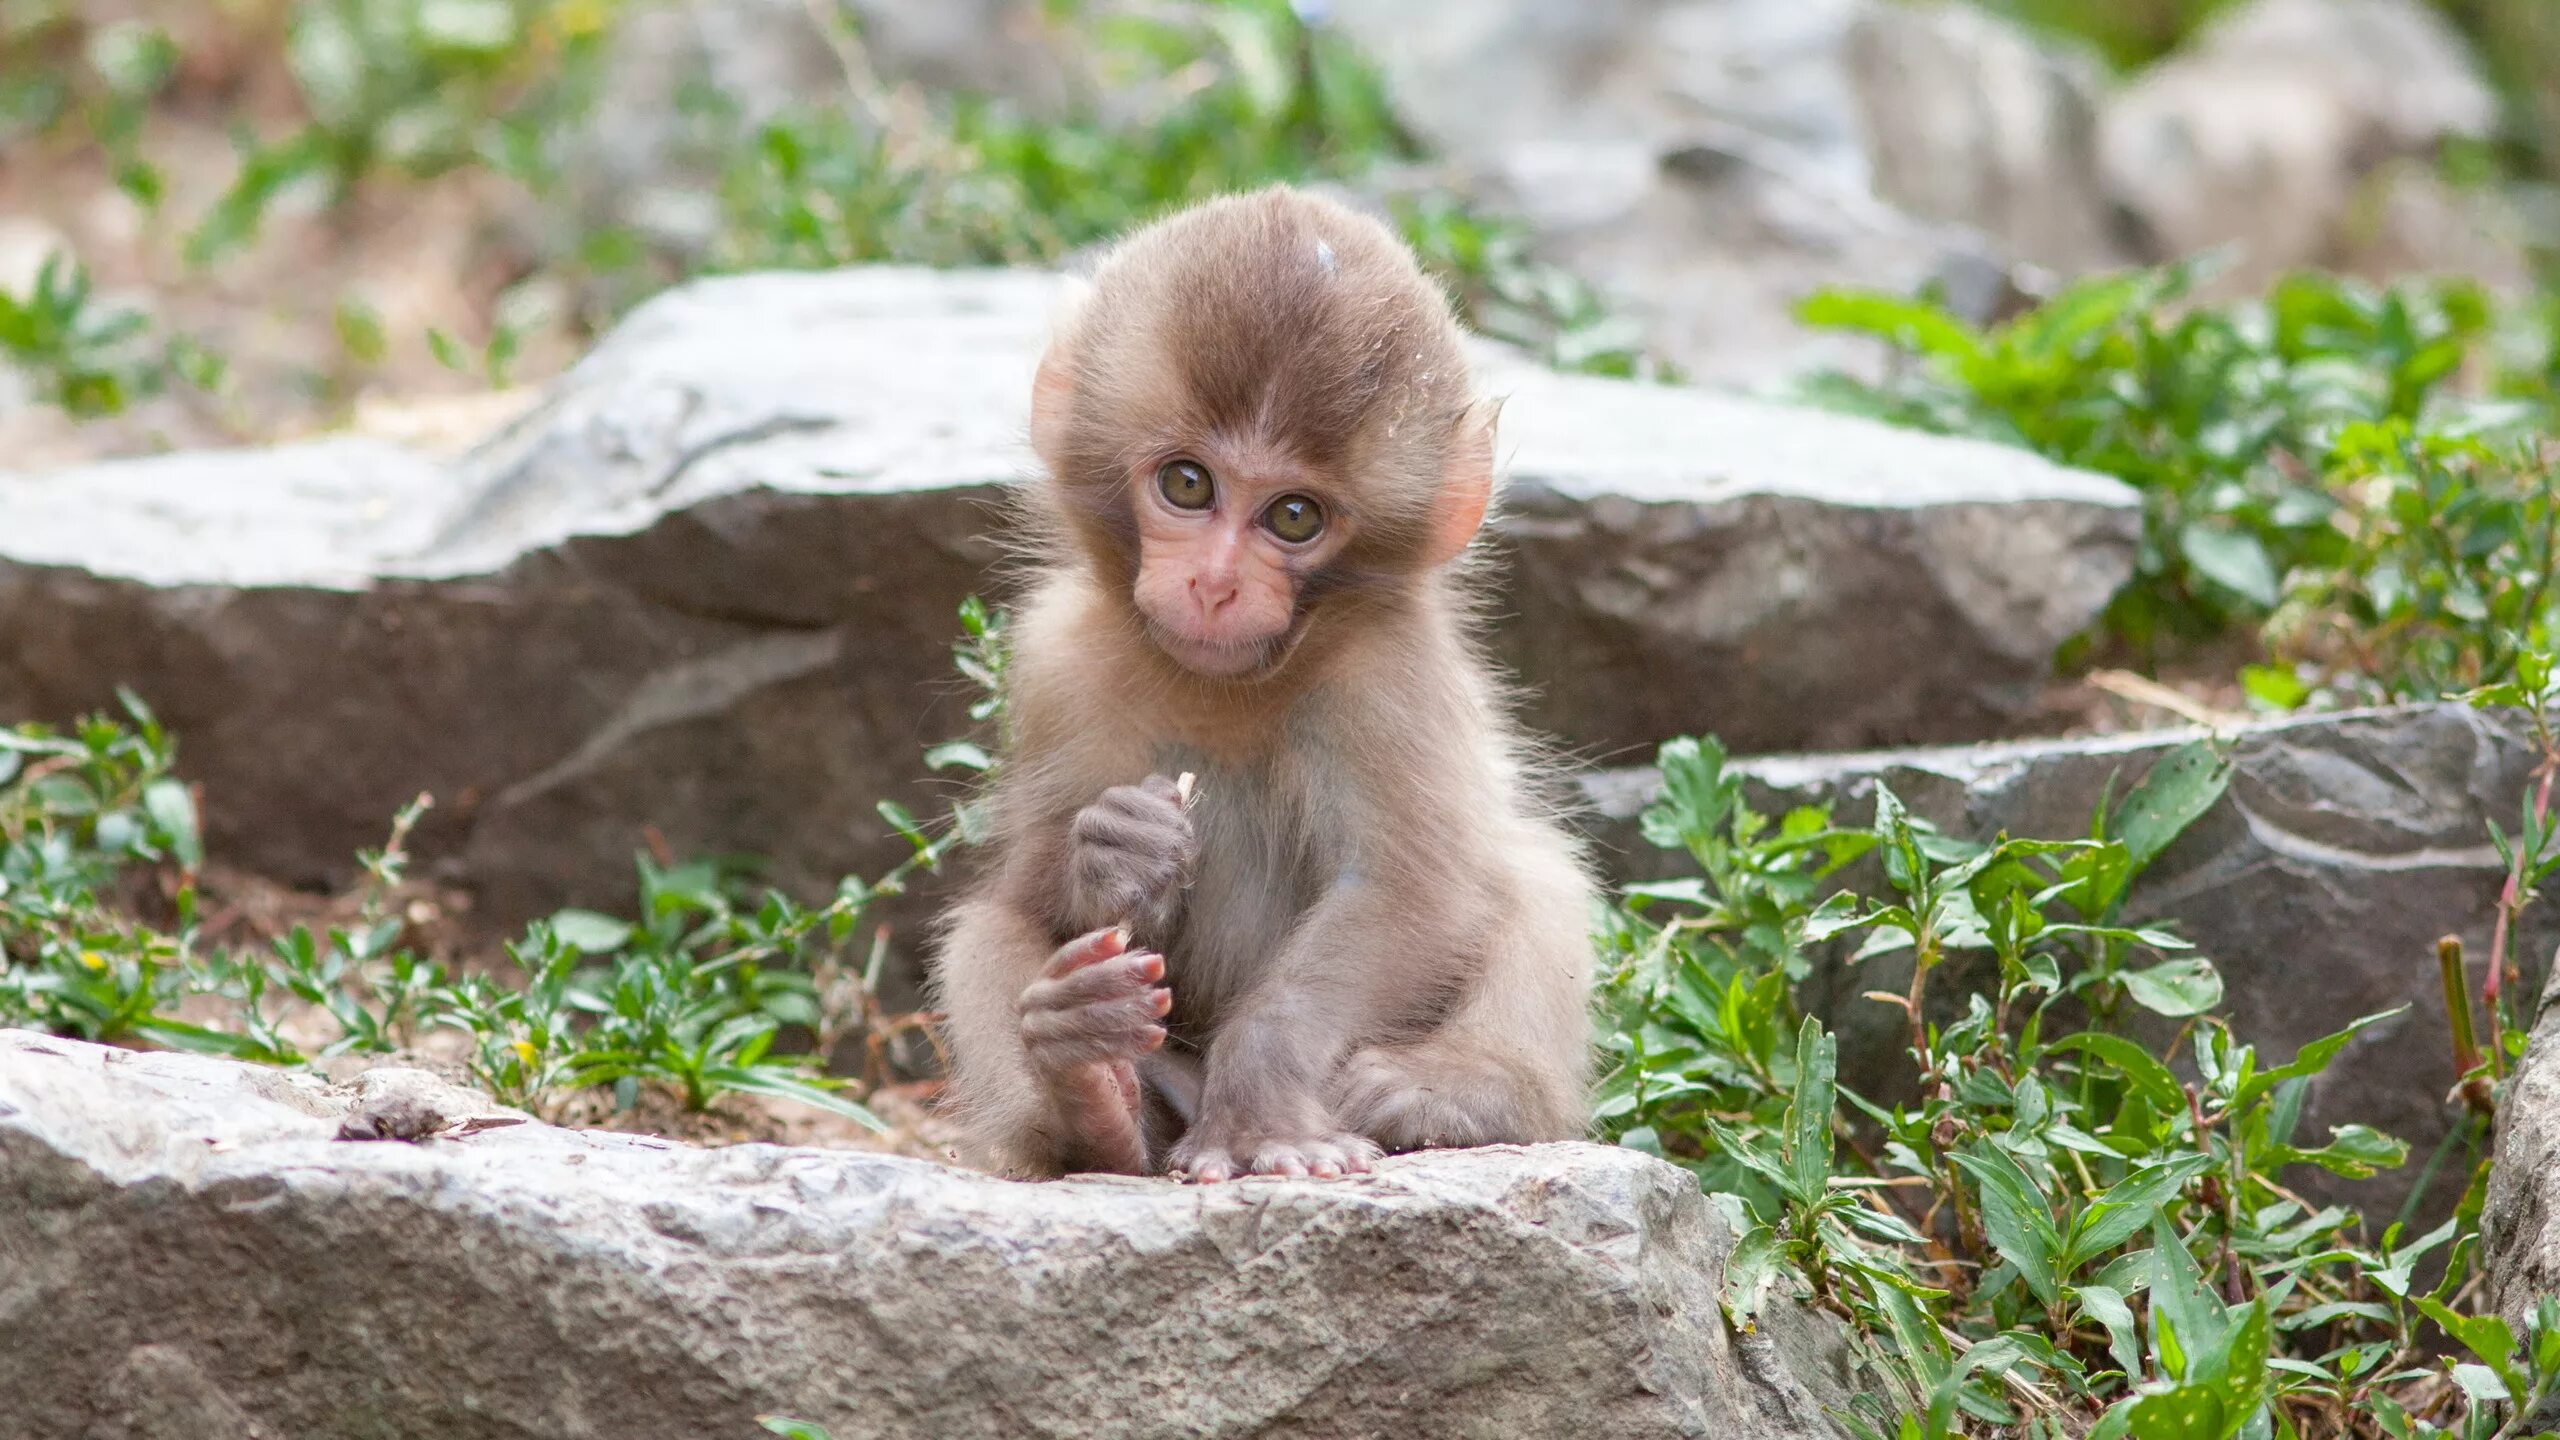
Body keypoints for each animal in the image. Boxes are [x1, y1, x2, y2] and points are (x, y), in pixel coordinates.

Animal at [931, 184, 1587, 1178]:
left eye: (1294, 517)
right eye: (1188, 485)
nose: (1215, 584)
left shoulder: (1388, 678)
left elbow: (1407, 890)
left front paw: (1262, 1115)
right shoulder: (1056, 659)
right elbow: (1027, 895)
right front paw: (1114, 853)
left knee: (1536, 874)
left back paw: (1464, 1090)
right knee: (985, 930)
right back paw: (1089, 1097)